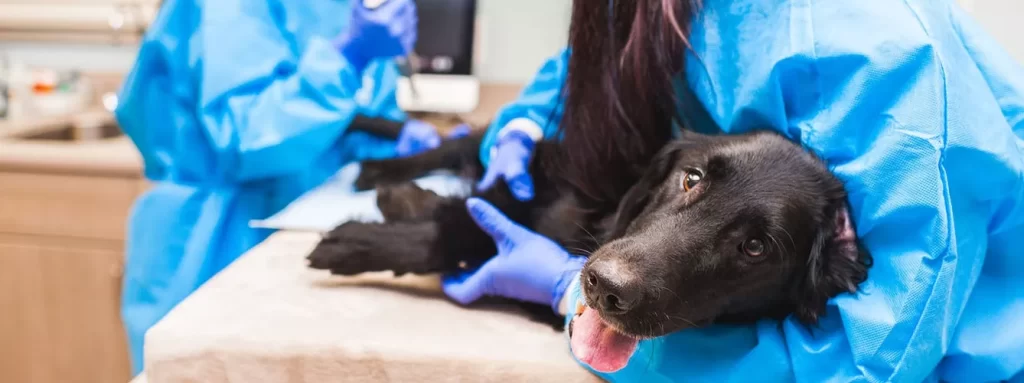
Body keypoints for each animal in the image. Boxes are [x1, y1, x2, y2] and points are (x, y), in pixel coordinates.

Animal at [305, 122, 872, 337]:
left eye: (755, 247)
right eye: (691, 178)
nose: (604, 288)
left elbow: (460, 228)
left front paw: (361, 239)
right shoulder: (537, 192)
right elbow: (464, 218)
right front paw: (363, 237)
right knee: (461, 144)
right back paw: (380, 172)